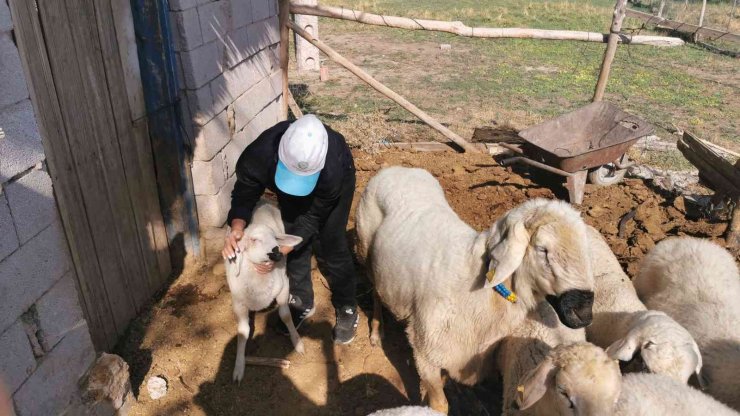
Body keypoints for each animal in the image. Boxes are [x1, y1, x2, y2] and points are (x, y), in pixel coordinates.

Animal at [227, 202, 304, 384]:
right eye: (254, 240)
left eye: (275, 238)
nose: (276, 250)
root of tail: (264, 203)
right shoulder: (239, 303)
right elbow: (243, 332)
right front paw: (239, 366)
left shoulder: (283, 287)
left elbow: (286, 316)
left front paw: (297, 342)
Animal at [356, 167, 596, 412]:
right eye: (542, 250)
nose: (584, 314)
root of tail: (397, 169)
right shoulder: (424, 352)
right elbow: (440, 404)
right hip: (365, 248)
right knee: (375, 292)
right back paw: (376, 331)